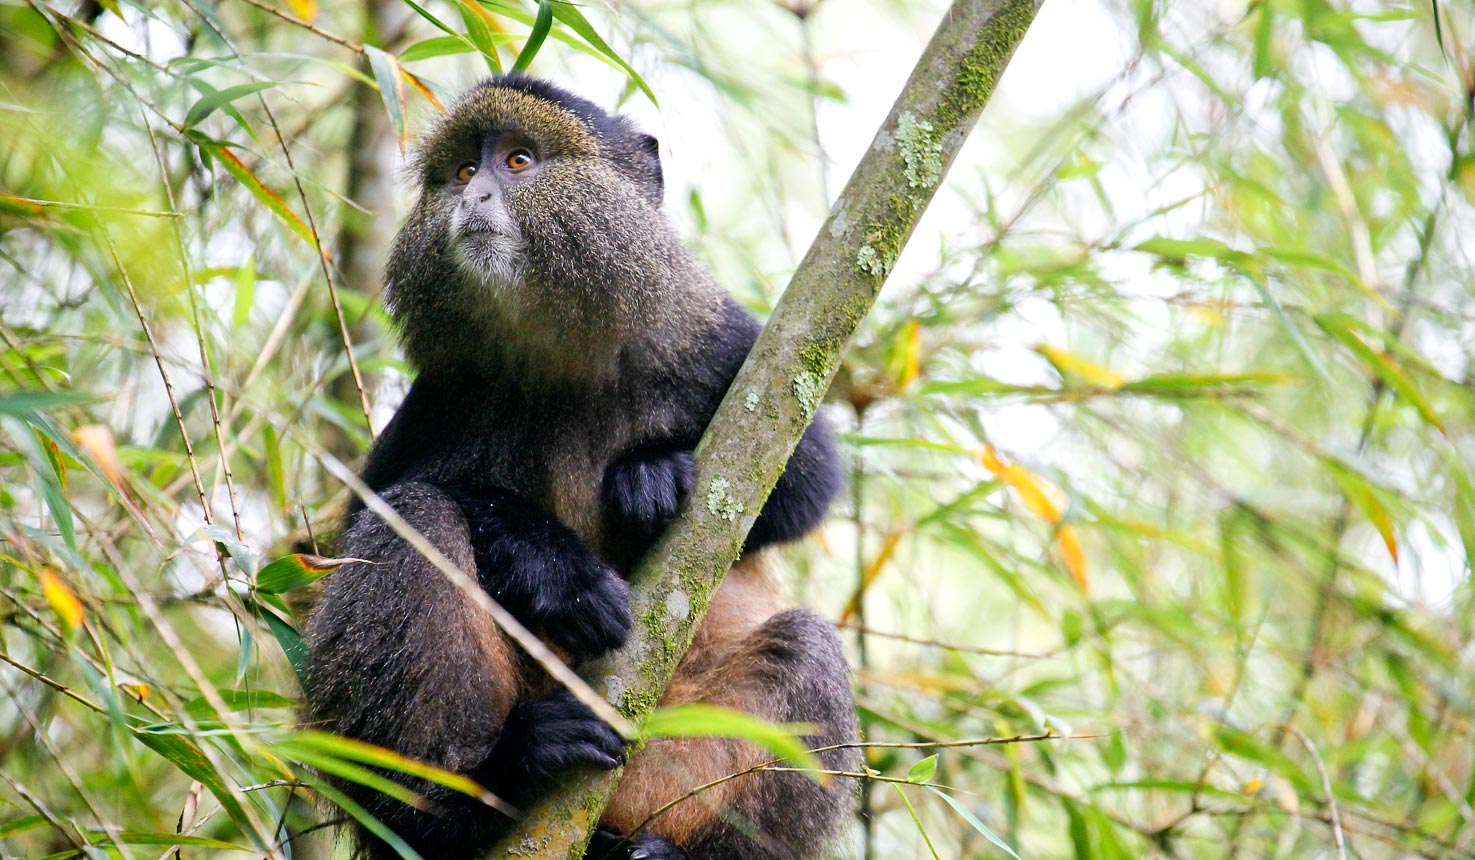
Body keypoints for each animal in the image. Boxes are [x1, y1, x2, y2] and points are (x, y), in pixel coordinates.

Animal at [302, 75, 859, 860]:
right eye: (463, 172)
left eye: (519, 161)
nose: (474, 196)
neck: (561, 350)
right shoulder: (442, 393)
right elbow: (374, 508)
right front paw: (557, 570)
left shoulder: (718, 340)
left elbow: (805, 477)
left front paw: (650, 473)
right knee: (416, 520)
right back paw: (470, 795)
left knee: (806, 646)